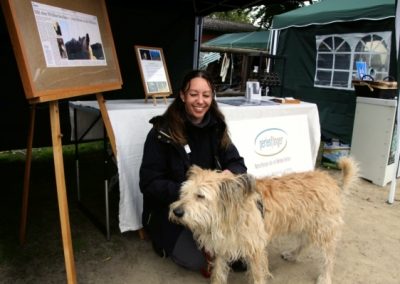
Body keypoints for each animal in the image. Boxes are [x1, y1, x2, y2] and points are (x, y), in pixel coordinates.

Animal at [169, 158, 360, 284]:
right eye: (184, 193)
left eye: (200, 196)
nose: (176, 212)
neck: (230, 214)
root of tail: (331, 181)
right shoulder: (223, 247)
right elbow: (219, 272)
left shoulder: (255, 249)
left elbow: (257, 275)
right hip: (305, 222)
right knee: (305, 242)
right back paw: (293, 254)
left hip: (323, 228)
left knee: (329, 256)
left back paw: (325, 277)